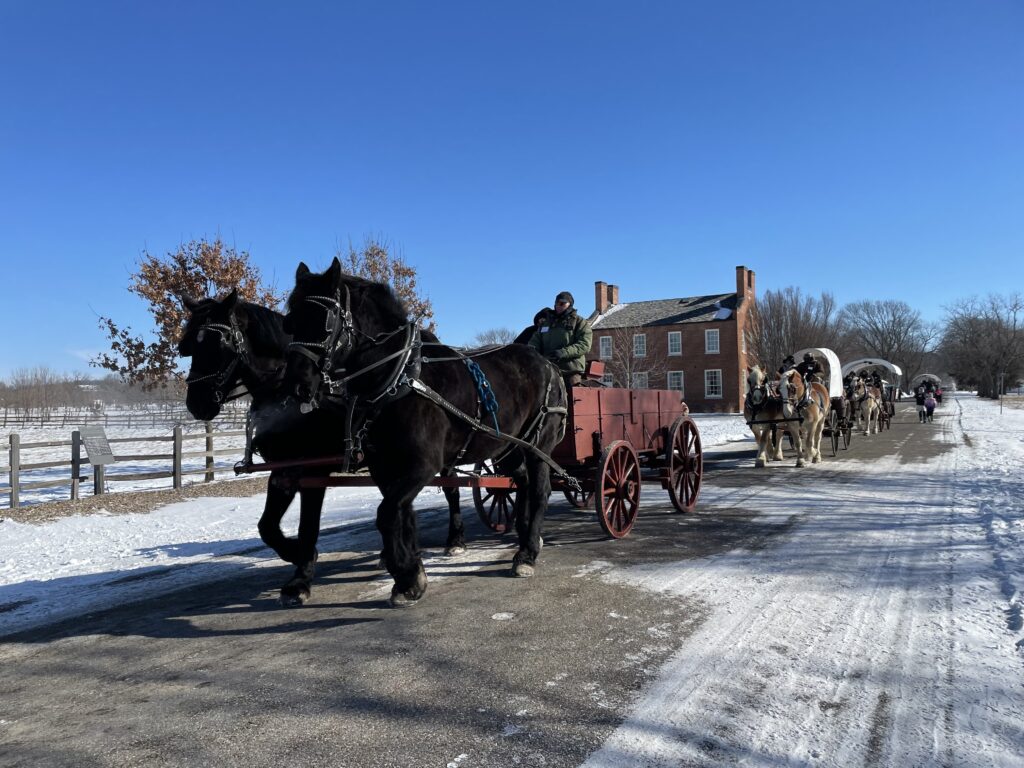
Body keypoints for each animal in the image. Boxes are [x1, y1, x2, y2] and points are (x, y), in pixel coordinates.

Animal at [179, 288, 468, 606]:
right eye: (190, 346)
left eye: (221, 344)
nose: (196, 404)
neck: (285, 395)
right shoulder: (283, 471)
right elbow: (267, 527)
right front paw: (296, 558)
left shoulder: (313, 471)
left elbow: (308, 526)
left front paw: (301, 577)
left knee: (451, 491)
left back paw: (454, 541)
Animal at [280, 262, 569, 610]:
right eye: (290, 322)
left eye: (325, 323)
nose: (296, 385)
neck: (399, 378)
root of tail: (548, 364)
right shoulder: (385, 468)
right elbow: (400, 515)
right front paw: (409, 572)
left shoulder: (423, 465)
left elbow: (387, 514)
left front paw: (407, 576)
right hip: (507, 447)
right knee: (522, 482)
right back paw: (527, 536)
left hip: (540, 444)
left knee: (539, 489)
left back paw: (527, 554)